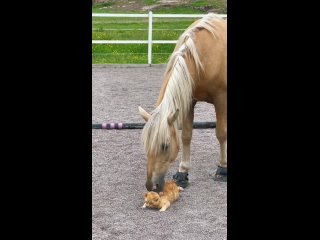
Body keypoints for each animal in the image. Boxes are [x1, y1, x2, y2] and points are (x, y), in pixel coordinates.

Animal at [139, 14, 226, 192]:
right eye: (145, 144)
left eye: (165, 145)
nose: (151, 186)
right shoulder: (188, 100)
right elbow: (186, 135)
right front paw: (183, 172)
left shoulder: (220, 98)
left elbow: (221, 133)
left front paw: (222, 169)